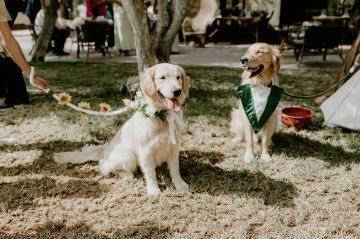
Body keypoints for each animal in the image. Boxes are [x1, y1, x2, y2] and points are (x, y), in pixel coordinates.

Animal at [54, 63, 188, 196]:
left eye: (178, 77)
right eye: (162, 77)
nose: (177, 91)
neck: (163, 116)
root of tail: (106, 151)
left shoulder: (174, 147)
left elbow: (175, 169)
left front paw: (180, 185)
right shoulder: (146, 149)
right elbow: (150, 173)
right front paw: (154, 190)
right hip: (128, 156)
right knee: (104, 166)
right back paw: (126, 174)